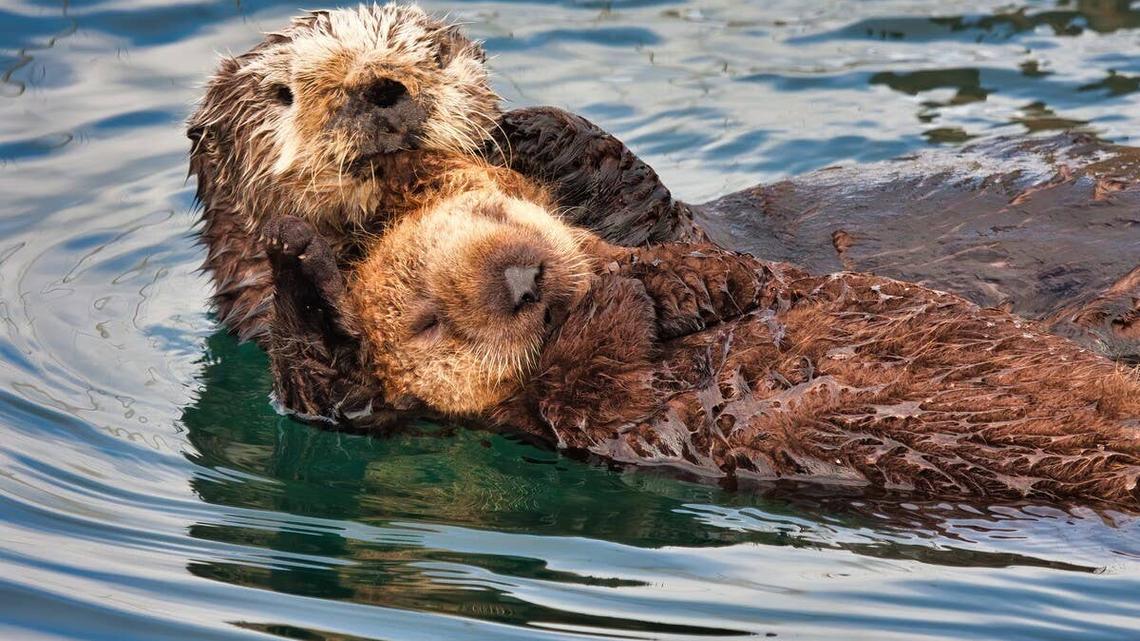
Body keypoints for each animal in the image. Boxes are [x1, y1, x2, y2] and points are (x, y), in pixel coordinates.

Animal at [262, 161, 1140, 508]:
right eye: (427, 320)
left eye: (491, 210)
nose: (521, 278)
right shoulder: (586, 418)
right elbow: (593, 381)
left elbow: (731, 272)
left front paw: (676, 280)